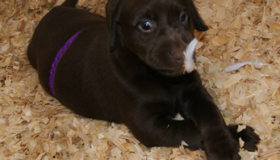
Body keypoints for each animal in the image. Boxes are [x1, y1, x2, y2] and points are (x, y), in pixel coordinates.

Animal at [27, 0, 260, 159]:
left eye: (183, 17)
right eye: (146, 25)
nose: (182, 54)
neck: (162, 80)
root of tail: (53, 12)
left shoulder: (194, 92)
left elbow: (211, 115)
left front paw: (225, 142)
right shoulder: (147, 123)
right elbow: (187, 129)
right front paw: (237, 135)